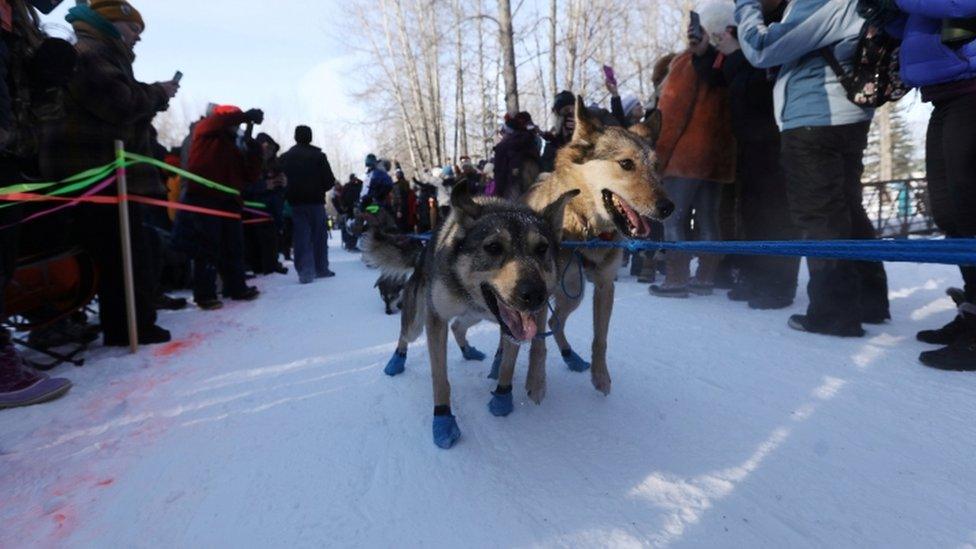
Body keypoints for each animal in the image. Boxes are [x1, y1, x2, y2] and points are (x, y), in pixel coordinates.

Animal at [366, 182, 580, 448]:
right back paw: (396, 361)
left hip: (473, 317)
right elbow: (440, 378)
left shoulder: (514, 326)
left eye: (542, 248)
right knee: (405, 335)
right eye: (493, 247)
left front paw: (502, 397)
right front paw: (443, 419)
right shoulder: (435, 320)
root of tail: (422, 252)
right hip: (417, 321)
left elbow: (508, 364)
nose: (535, 295)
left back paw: (468, 351)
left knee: (458, 326)